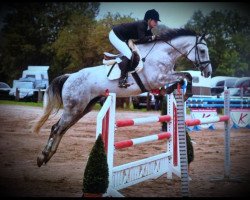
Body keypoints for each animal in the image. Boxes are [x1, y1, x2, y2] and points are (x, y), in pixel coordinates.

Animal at [34, 27, 212, 166]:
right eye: (203, 51)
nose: (208, 72)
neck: (163, 53)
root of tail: (70, 76)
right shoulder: (158, 78)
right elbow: (187, 75)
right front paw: (185, 92)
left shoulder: (164, 78)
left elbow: (183, 77)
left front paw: (172, 91)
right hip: (74, 108)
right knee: (56, 128)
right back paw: (42, 156)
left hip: (82, 109)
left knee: (62, 129)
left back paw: (47, 156)